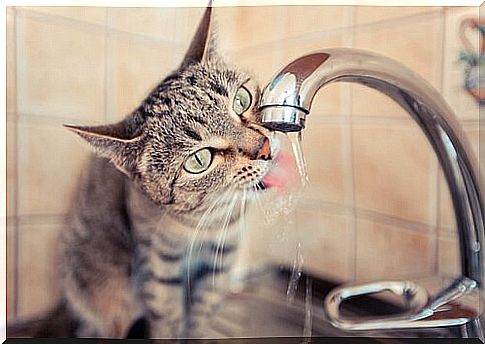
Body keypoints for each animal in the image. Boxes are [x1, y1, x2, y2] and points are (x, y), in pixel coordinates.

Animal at [7, 5, 280, 338]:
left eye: (241, 99)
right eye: (199, 160)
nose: (264, 148)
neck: (209, 221)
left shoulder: (222, 257)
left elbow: (201, 315)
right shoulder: (158, 262)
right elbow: (167, 319)